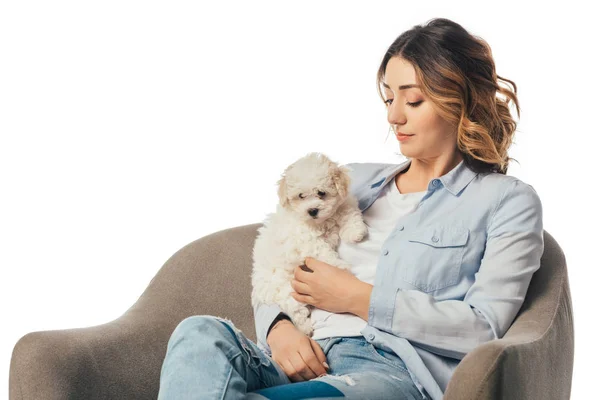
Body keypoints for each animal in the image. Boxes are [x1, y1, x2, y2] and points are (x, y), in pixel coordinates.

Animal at [248, 152, 366, 338]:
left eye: (321, 193)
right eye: (301, 196)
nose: (312, 210)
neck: (320, 222)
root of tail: (260, 289)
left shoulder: (343, 204)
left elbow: (348, 212)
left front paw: (355, 232)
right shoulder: (306, 240)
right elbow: (322, 251)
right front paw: (338, 266)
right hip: (286, 289)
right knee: (295, 310)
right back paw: (305, 329)